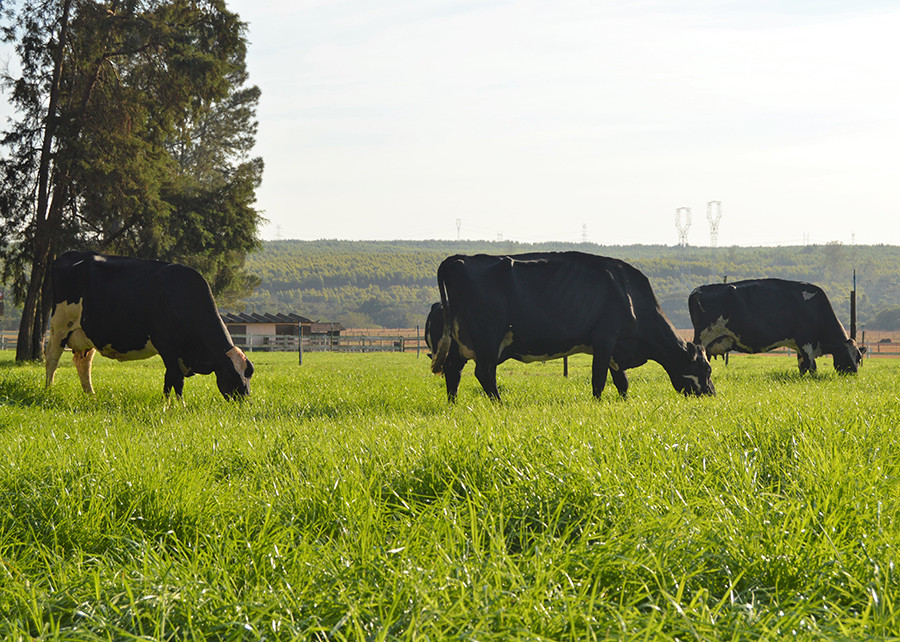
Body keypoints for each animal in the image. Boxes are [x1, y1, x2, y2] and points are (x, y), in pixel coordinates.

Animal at [48, 249, 255, 396]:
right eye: (230, 374)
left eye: (249, 374)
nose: (245, 400)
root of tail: (70, 254)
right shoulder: (166, 345)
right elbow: (175, 378)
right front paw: (177, 407)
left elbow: (169, 380)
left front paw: (168, 405)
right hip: (60, 326)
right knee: (52, 358)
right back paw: (48, 390)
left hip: (86, 333)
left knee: (83, 363)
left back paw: (90, 394)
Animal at [428, 251, 716, 398]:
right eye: (706, 369)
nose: (711, 393)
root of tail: (459, 258)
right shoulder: (605, 339)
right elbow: (599, 379)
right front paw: (598, 404)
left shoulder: (616, 348)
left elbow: (621, 381)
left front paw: (623, 402)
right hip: (488, 338)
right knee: (484, 373)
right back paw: (500, 404)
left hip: (461, 341)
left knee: (453, 371)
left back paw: (453, 405)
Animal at [688, 276, 864, 376]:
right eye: (845, 356)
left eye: (859, 357)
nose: (853, 374)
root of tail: (698, 290)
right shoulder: (806, 341)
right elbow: (812, 366)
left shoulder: (800, 346)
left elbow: (802, 366)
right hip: (703, 337)